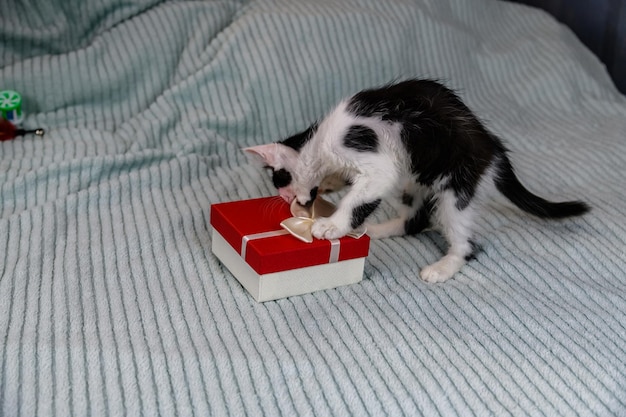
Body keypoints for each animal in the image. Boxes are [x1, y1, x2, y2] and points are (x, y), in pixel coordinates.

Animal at [243, 79, 584, 282]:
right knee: (416, 220)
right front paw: (331, 186)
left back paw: (443, 267)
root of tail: (491, 144)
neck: (320, 142)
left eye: (280, 179)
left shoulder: (370, 156)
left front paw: (331, 225)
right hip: (415, 178)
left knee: (465, 241)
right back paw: (380, 229)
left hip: (455, 183)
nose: (287, 200)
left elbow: (359, 196)